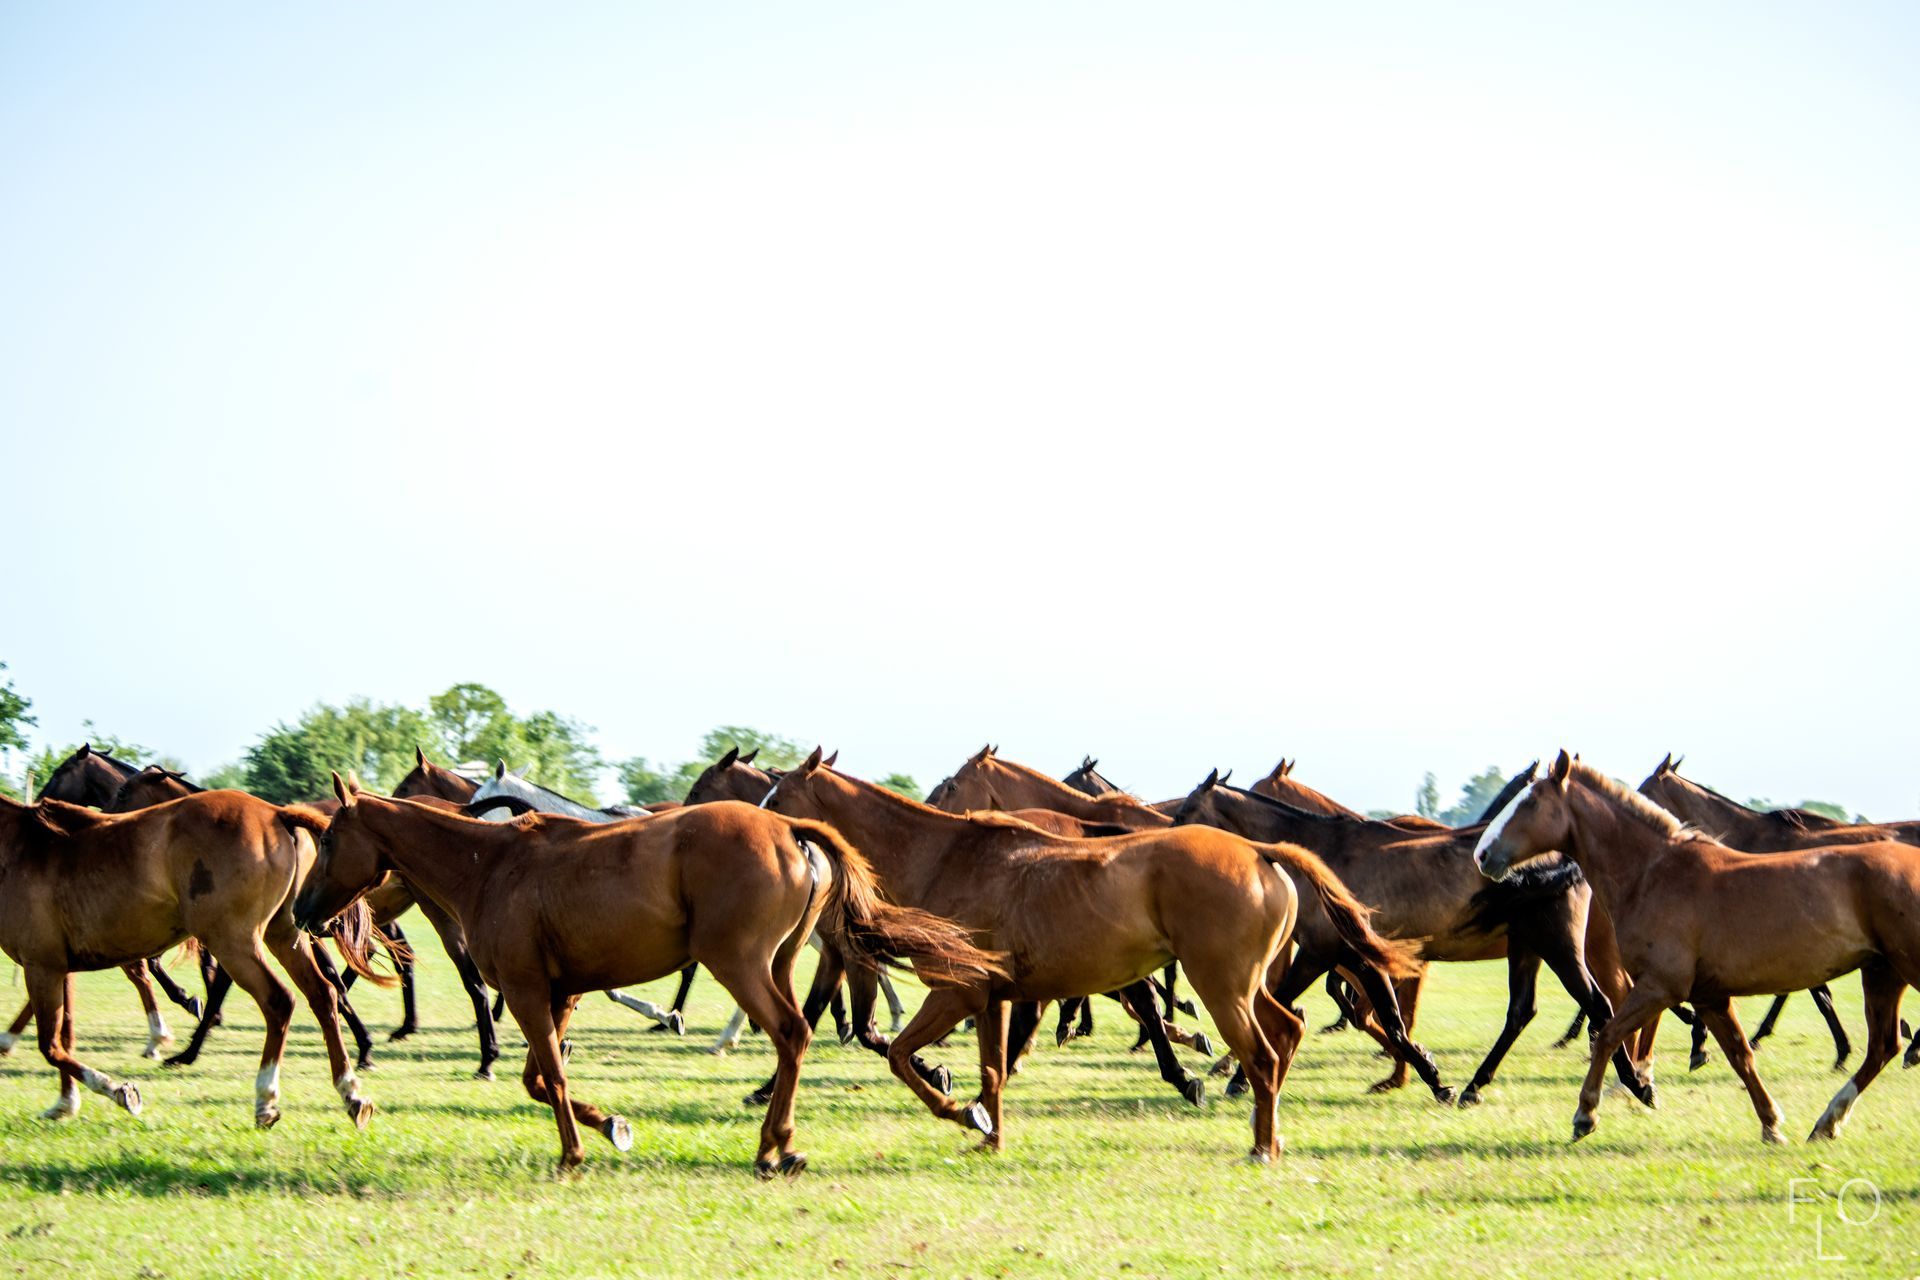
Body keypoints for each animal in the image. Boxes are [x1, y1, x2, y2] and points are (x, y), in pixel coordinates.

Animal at [0, 791, 377, 1128]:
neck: (18, 850)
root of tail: (277, 813)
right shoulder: (60, 967)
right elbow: (65, 1036)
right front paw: (65, 1103)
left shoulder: (41, 966)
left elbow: (50, 1045)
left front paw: (120, 1090)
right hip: (284, 935)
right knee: (323, 994)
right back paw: (351, 1093)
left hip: (233, 942)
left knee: (279, 1001)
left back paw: (265, 1100)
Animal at [293, 777, 1006, 1173]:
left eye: (326, 839)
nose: (302, 911)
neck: (492, 865)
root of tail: (789, 830)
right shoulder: (561, 994)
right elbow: (539, 1078)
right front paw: (610, 1125)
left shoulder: (526, 991)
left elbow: (549, 1075)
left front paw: (573, 1153)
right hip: (776, 962)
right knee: (799, 1033)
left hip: (738, 964)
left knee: (790, 1033)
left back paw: (774, 1147)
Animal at [758, 748, 1426, 1163]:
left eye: (780, 791)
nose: (762, 833)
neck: (948, 857)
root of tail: (1261, 852)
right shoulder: (992, 998)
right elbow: (992, 1071)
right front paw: (988, 1134)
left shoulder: (958, 993)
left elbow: (902, 1056)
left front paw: (961, 1112)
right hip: (1250, 985)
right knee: (1286, 1032)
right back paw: (1271, 1130)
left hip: (1222, 986)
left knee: (1262, 1054)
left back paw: (1261, 1144)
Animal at [1172, 768, 1653, 1109]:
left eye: (1185, 811)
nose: (1168, 837)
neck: (1324, 853)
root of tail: (1567, 855)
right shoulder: (1362, 959)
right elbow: (1393, 1023)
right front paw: (1435, 1080)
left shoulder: (1319, 952)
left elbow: (1284, 1002)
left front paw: (1236, 1077)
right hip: (1527, 947)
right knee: (1524, 1011)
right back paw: (1475, 1086)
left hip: (1559, 945)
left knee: (1600, 1003)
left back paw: (1634, 1083)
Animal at [1476, 750, 1920, 1144]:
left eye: (1529, 802)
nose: (1482, 854)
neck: (1654, 873)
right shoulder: (1709, 996)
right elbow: (1741, 1056)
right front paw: (1771, 1124)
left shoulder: (1660, 985)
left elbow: (1607, 1035)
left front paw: (1587, 1114)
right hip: (1882, 972)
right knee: (1882, 1047)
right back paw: (1828, 1121)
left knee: (1883, 1045)